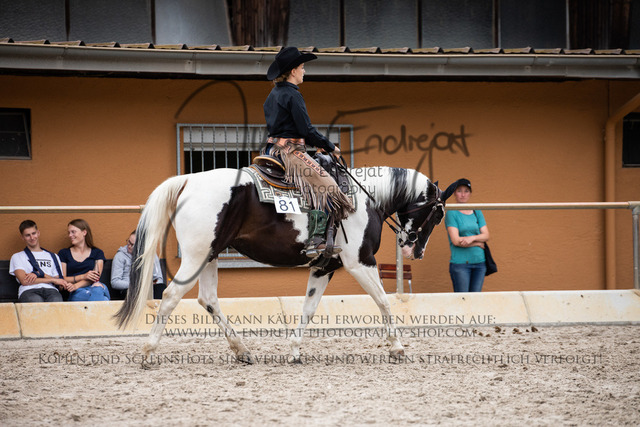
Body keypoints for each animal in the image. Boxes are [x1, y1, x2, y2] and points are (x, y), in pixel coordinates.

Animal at [115, 165, 451, 363]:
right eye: (438, 214)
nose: (415, 250)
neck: (364, 199)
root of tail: (188, 180)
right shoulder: (360, 262)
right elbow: (383, 301)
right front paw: (397, 347)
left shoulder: (324, 266)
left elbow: (309, 308)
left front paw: (294, 350)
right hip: (197, 256)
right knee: (171, 296)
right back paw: (149, 352)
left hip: (209, 255)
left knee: (208, 299)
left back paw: (242, 351)